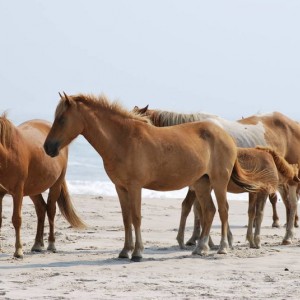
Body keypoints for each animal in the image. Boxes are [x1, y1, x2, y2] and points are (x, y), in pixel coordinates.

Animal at [0, 114, 85, 258]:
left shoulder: (18, 192)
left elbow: (17, 219)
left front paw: (18, 251)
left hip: (56, 184)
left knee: (50, 210)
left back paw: (51, 244)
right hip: (33, 189)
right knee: (41, 209)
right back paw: (37, 244)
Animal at [43, 92, 280, 260]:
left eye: (62, 119)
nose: (47, 147)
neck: (123, 139)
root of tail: (226, 135)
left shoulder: (135, 186)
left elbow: (136, 217)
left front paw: (137, 252)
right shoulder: (120, 187)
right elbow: (126, 218)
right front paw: (125, 251)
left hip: (218, 182)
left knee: (223, 210)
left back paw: (221, 247)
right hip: (201, 183)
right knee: (209, 211)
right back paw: (200, 248)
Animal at [135, 105, 300, 246]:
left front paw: (218, 240)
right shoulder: (198, 183)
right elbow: (197, 208)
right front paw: (196, 238)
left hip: (290, 178)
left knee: (291, 203)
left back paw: (288, 235)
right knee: (287, 203)